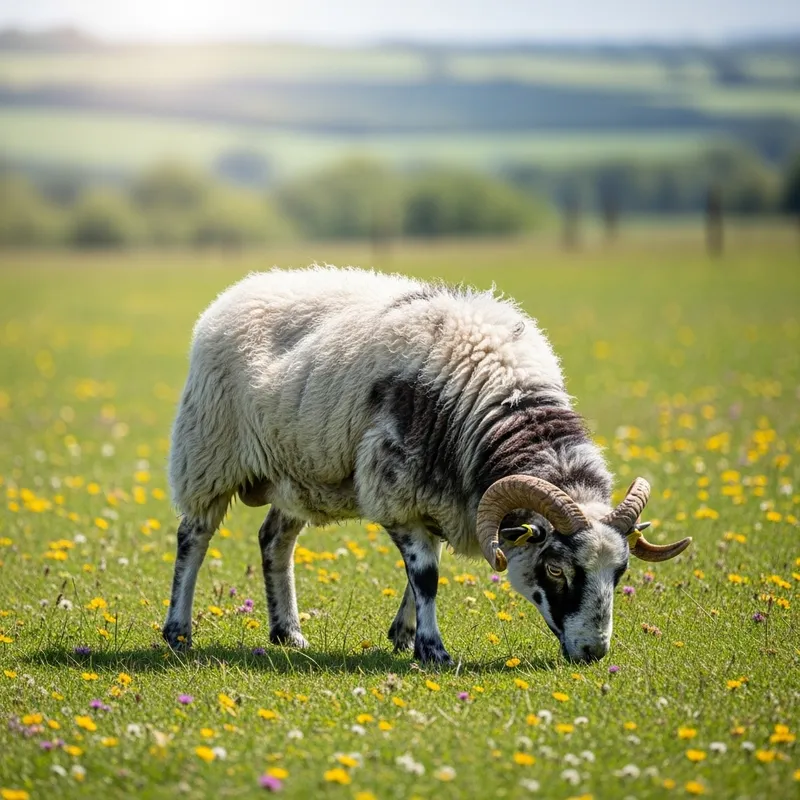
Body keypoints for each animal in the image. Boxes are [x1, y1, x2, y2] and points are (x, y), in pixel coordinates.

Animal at [163, 266, 691, 663]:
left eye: (620, 572)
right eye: (556, 569)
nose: (593, 654)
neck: (505, 405)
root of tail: (243, 287)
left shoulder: (442, 496)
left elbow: (418, 573)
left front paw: (404, 636)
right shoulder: (398, 490)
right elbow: (426, 577)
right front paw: (433, 651)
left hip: (297, 472)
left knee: (274, 540)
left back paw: (287, 632)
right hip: (207, 453)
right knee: (193, 537)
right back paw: (178, 631)